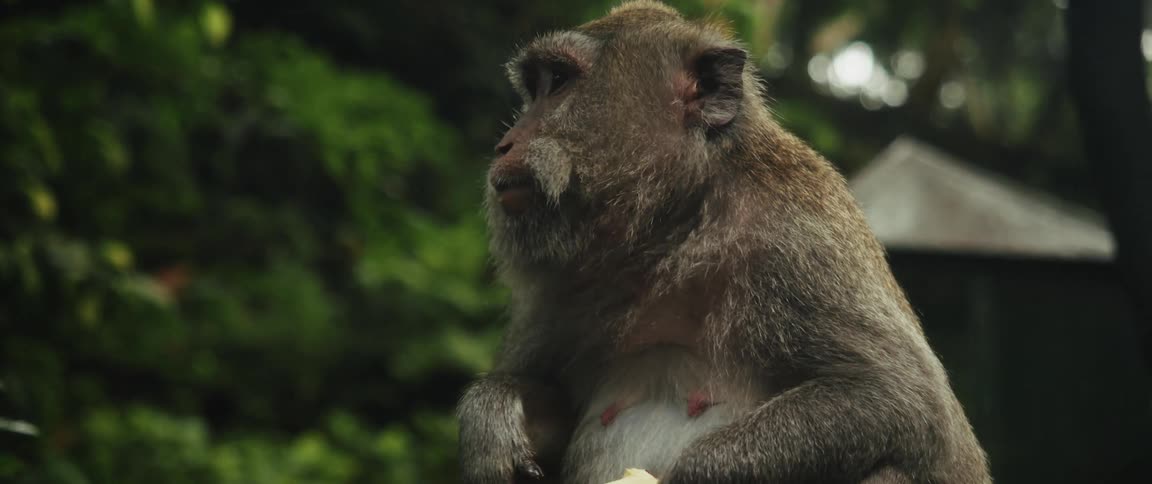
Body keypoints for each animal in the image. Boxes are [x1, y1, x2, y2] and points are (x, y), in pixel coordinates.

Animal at [457, 1, 990, 483]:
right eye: (536, 87)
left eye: (561, 81)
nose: (505, 144)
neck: (670, 233)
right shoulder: (560, 284)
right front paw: (491, 414)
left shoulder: (797, 240)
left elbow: (896, 398)